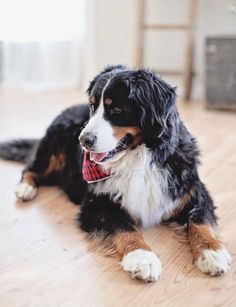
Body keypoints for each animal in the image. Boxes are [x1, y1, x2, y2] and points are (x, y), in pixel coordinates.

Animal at [0, 66, 230, 282]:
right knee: (31, 169)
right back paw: (25, 189)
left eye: (117, 109)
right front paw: (141, 257)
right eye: (93, 106)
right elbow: (124, 226)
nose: (83, 140)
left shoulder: (192, 190)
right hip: (51, 150)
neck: (138, 160)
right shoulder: (97, 203)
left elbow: (199, 220)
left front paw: (212, 252)